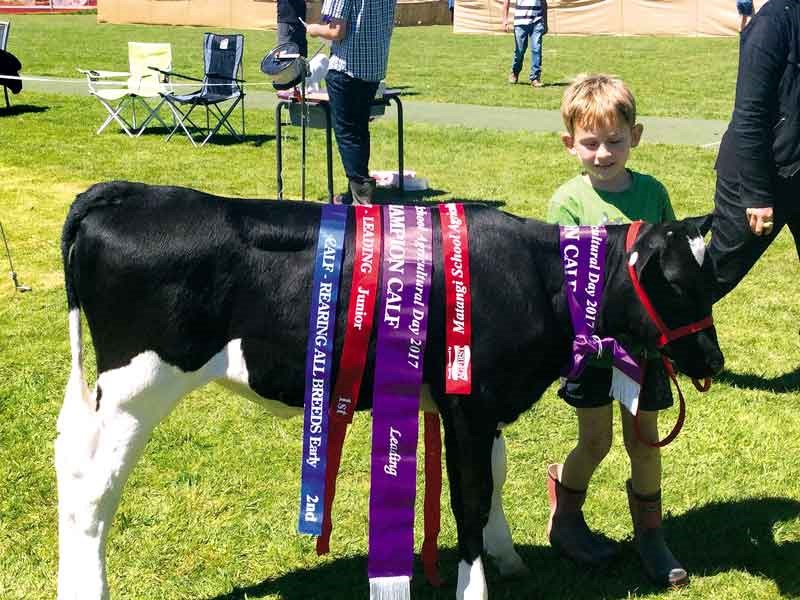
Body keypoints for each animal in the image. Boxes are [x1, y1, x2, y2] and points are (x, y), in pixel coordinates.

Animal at [57, 182, 724, 600]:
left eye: (711, 279)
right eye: (677, 285)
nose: (713, 358)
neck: (535, 278)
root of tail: (125, 192)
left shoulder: (482, 403)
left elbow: (496, 475)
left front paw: (507, 557)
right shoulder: (468, 403)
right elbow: (470, 497)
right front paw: (474, 585)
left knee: (69, 463)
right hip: (138, 384)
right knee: (93, 490)